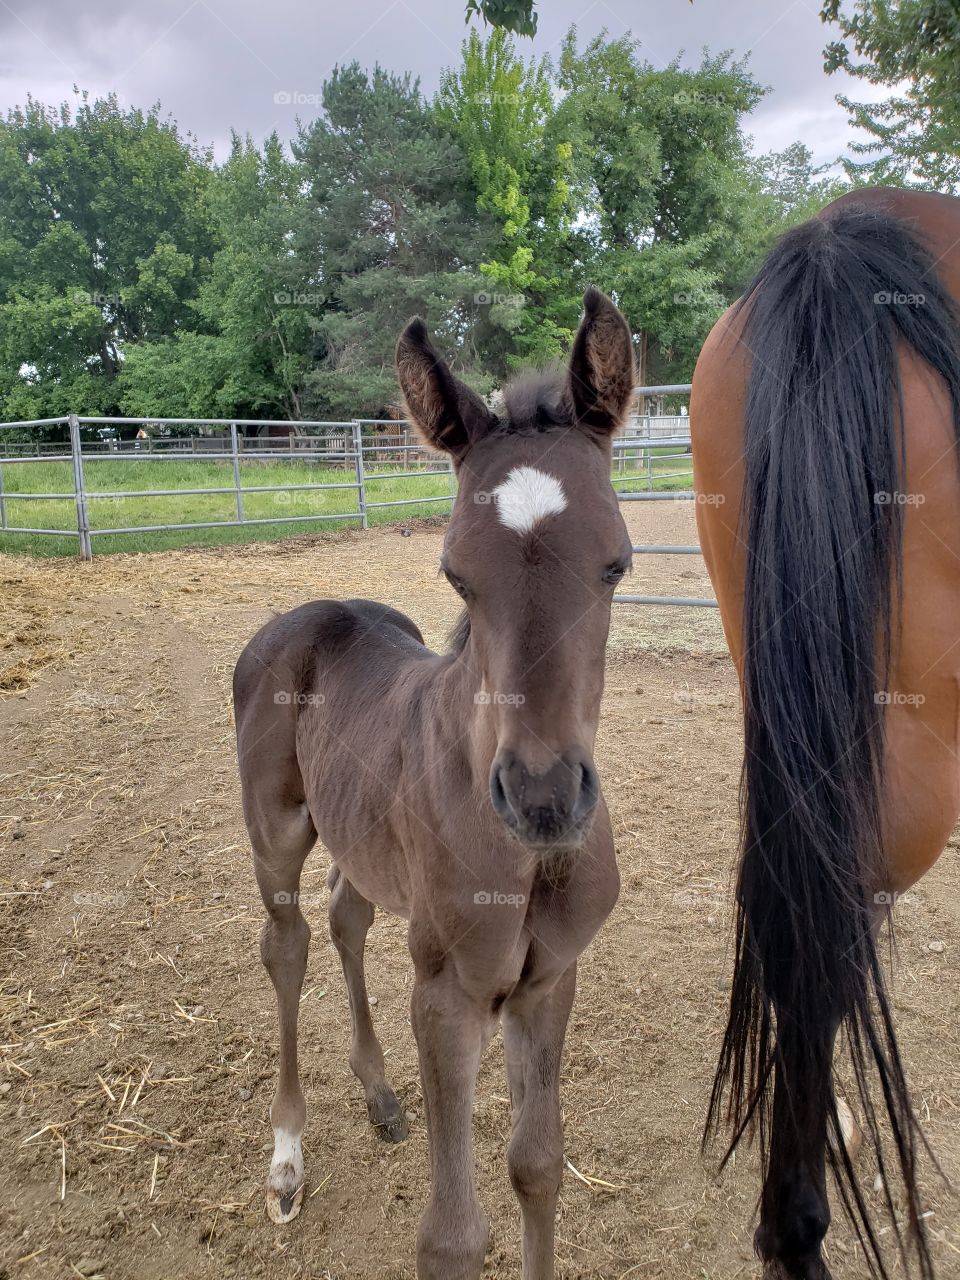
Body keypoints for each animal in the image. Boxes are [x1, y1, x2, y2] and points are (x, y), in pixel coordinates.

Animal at [233, 287, 636, 1279]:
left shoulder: (548, 981)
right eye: (456, 571)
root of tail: (308, 613)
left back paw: (379, 1096)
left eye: (617, 562)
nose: (542, 798)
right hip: (275, 833)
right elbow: (451, 1236)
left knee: (346, 915)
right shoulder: (447, 998)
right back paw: (288, 1157)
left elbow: (538, 1167)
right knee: (288, 945)